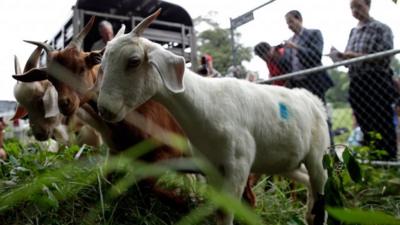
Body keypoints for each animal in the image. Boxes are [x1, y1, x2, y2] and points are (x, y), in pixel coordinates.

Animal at [96, 9, 328, 225]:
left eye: (134, 61)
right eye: (102, 64)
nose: (104, 109)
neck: (207, 104)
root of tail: (311, 99)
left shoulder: (238, 165)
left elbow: (226, 211)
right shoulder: (212, 167)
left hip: (316, 153)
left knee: (320, 180)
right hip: (287, 162)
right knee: (306, 179)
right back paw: (308, 215)